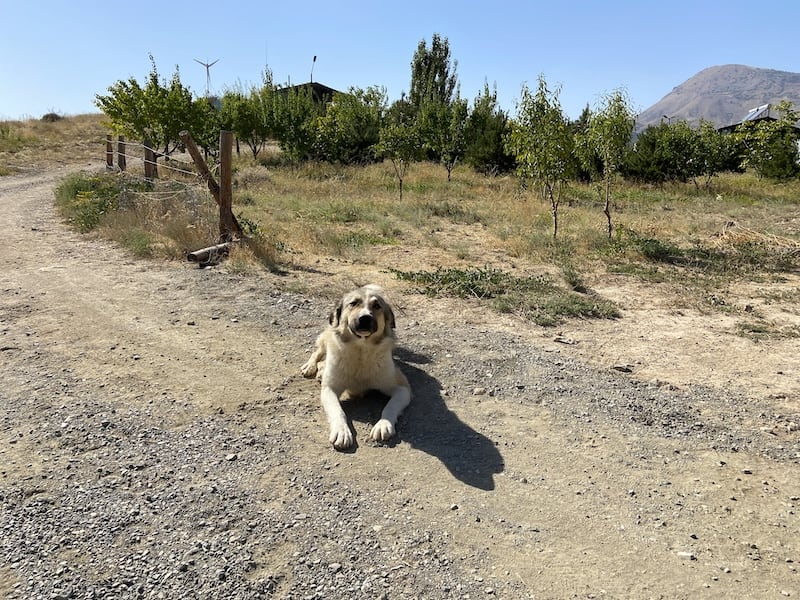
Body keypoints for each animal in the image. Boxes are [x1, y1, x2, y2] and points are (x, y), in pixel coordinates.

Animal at [302, 286, 412, 450]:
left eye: (377, 305)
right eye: (353, 303)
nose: (365, 318)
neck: (361, 351)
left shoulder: (403, 388)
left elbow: (390, 406)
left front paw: (383, 425)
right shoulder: (329, 389)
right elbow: (338, 411)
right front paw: (341, 431)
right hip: (326, 340)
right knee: (318, 352)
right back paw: (310, 366)